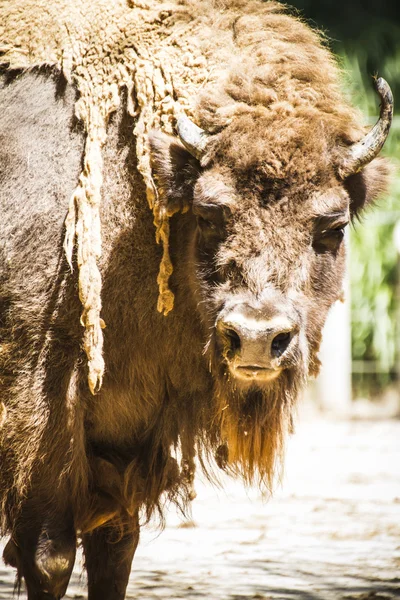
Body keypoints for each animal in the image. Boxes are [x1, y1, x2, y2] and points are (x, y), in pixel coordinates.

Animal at [0, 0, 392, 596]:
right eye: (210, 213)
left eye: (332, 225)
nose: (255, 338)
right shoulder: (39, 411)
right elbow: (50, 556)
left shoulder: (126, 425)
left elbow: (115, 547)